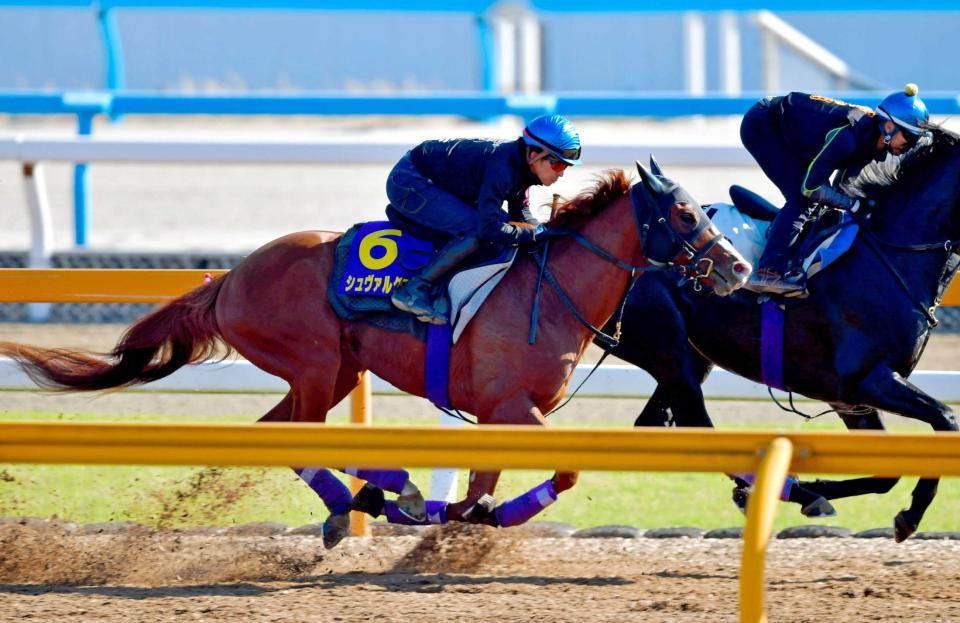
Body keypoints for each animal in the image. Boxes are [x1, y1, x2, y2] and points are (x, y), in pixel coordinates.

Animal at [0, 163, 752, 540]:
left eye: (705, 210)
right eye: (686, 213)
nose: (739, 268)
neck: (549, 289)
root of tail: (228, 279)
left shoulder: (499, 414)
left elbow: (488, 484)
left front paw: (476, 515)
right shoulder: (511, 405)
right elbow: (562, 472)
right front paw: (459, 510)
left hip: (332, 370)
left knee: (280, 435)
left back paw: (356, 505)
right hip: (313, 362)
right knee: (306, 434)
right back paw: (391, 490)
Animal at [608, 128, 960, 540]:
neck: (892, 256)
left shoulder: (851, 399)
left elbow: (886, 473)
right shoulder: (866, 381)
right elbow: (946, 420)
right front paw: (911, 514)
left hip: (689, 358)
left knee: (658, 422)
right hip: (667, 350)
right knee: (697, 424)